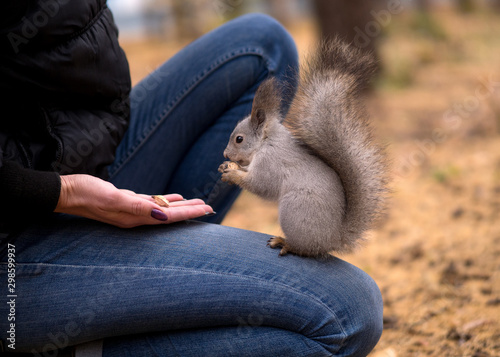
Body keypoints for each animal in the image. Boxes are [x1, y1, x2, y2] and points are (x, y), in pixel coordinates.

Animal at [218, 37, 386, 258]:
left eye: (239, 139)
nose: (225, 153)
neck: (266, 141)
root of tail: (331, 240)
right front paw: (228, 166)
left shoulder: (270, 163)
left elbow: (259, 184)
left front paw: (233, 174)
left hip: (295, 209)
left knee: (304, 248)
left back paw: (285, 243)